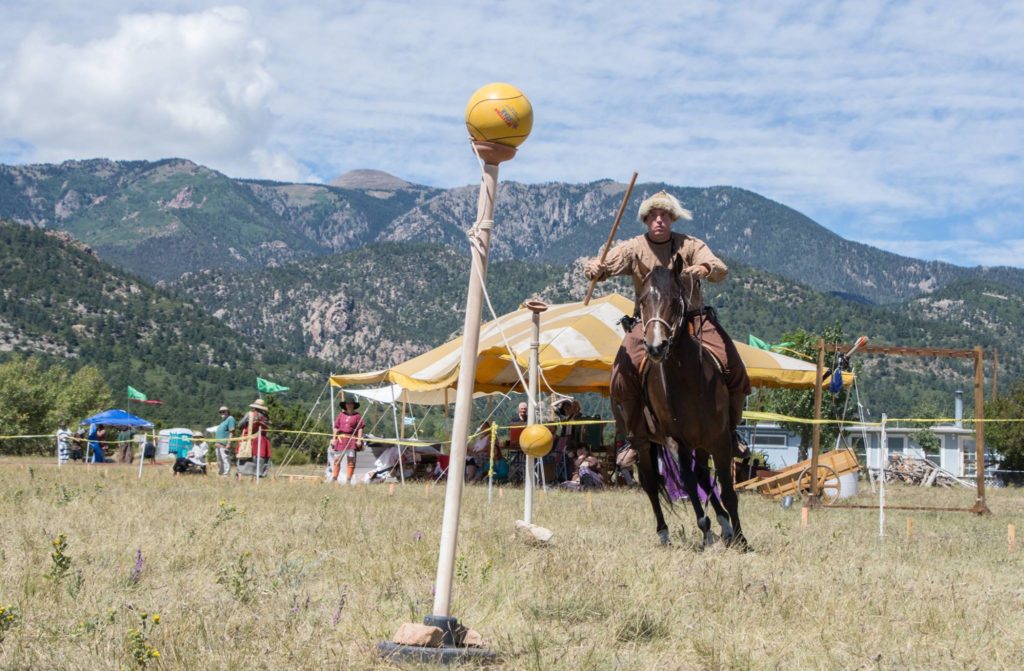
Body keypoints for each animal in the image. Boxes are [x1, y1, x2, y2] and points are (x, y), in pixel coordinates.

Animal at [618, 260, 749, 549]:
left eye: (675, 300)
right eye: (643, 301)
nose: (655, 346)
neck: (688, 381)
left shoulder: (720, 440)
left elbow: (726, 489)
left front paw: (740, 538)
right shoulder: (676, 441)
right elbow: (687, 483)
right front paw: (706, 530)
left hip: (703, 443)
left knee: (702, 476)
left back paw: (726, 526)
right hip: (645, 443)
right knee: (652, 485)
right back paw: (664, 533)